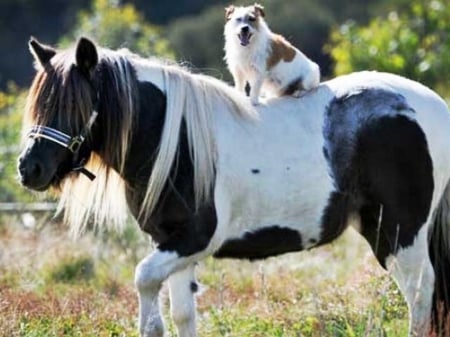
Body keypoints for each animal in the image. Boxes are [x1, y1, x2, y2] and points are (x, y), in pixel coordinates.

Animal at [19, 36, 450, 336]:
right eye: (40, 104)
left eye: (75, 105)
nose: (29, 168)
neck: (173, 139)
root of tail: (433, 105)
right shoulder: (169, 242)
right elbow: (181, 315)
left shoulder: (193, 239)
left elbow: (145, 284)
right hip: (381, 230)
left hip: (402, 231)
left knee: (420, 294)